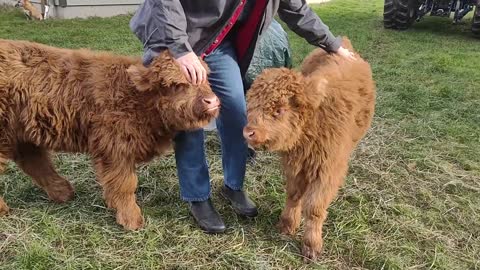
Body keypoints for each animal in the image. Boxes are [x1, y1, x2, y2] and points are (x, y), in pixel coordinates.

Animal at [0, 39, 220, 229]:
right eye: (176, 85)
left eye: (206, 79)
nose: (212, 101)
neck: (139, 100)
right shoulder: (115, 149)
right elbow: (125, 184)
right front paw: (131, 220)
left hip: (22, 134)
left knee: (35, 162)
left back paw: (63, 193)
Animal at [244, 37, 376, 260]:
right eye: (251, 105)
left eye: (279, 110)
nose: (248, 132)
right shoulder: (294, 165)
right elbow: (293, 195)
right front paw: (287, 225)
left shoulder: (327, 170)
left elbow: (314, 208)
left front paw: (311, 245)